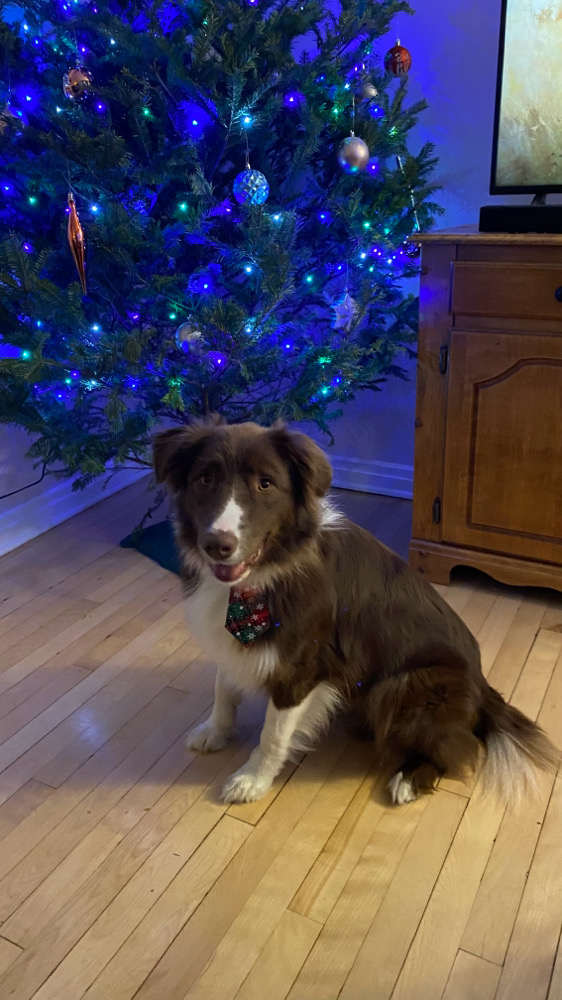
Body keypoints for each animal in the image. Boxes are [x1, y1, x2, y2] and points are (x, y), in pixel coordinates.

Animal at [153, 419, 559, 805]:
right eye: (205, 478)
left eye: (265, 483)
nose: (217, 545)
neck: (264, 574)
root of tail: (483, 688)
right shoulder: (230, 640)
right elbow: (223, 688)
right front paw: (214, 732)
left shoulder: (300, 668)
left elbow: (272, 734)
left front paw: (252, 781)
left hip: (410, 685)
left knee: (459, 748)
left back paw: (409, 778)